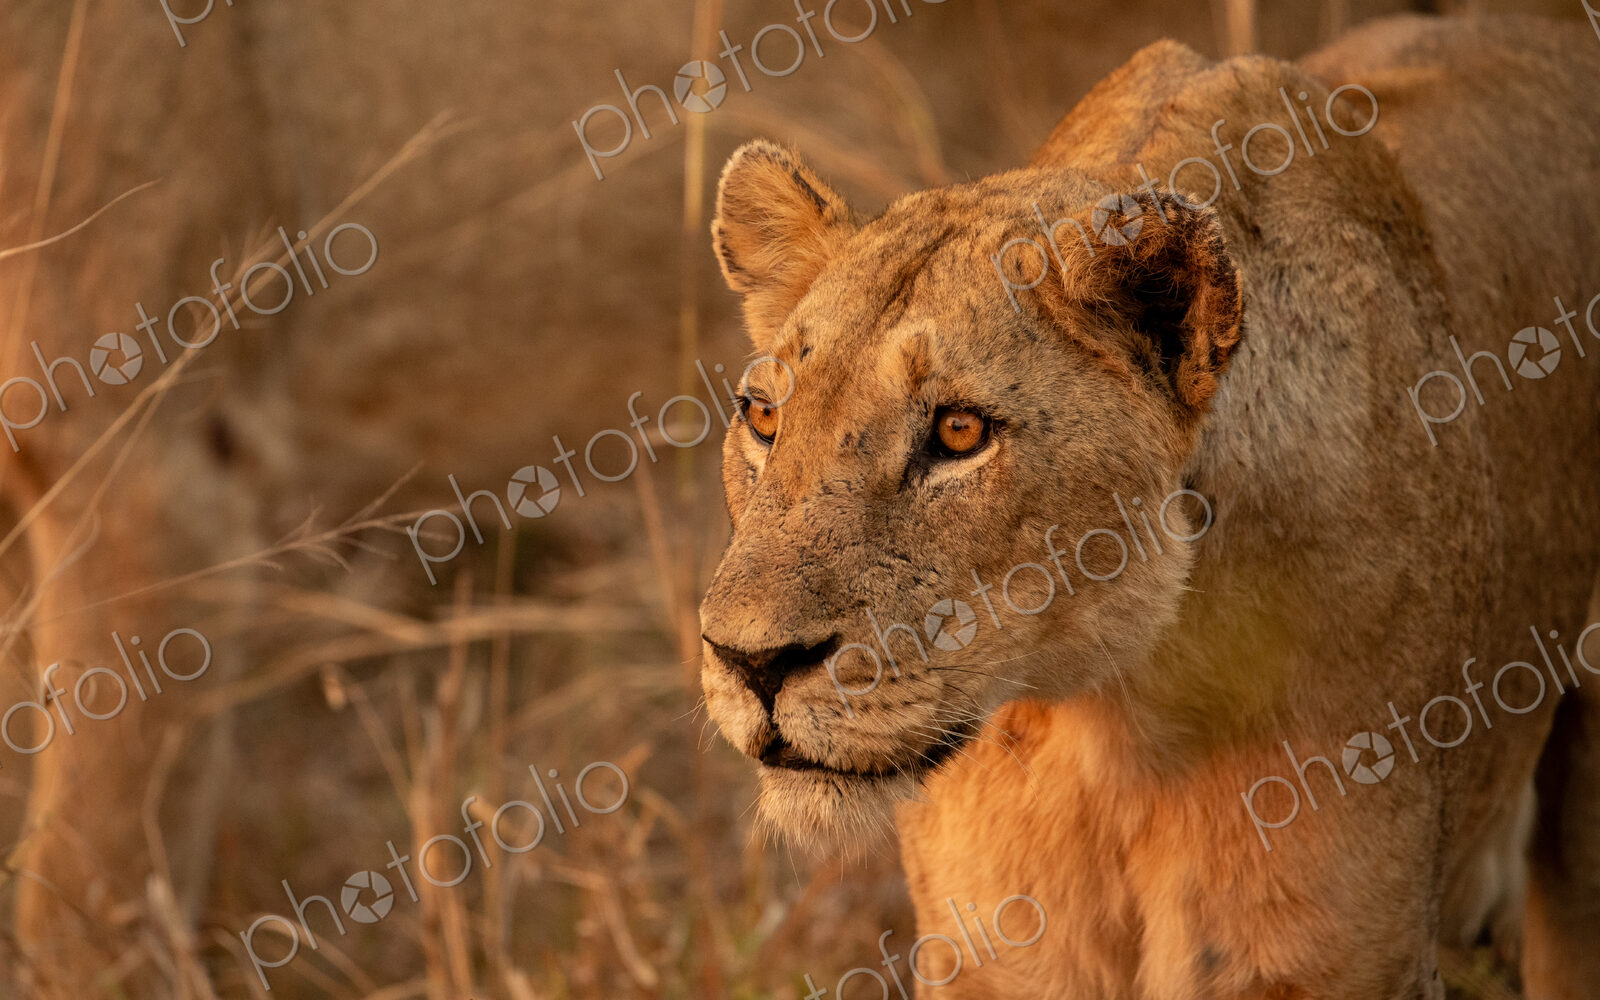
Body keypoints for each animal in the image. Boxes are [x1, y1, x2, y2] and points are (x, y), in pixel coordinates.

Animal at [699, 15, 1600, 999]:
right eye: (765, 417)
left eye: (960, 432)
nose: (750, 663)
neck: (1114, 722)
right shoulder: (998, 956)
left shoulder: (1334, 961)